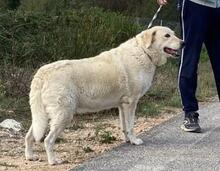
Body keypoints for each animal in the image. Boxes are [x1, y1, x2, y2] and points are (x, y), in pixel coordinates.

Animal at [24, 26, 183, 164]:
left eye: (174, 34)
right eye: (167, 35)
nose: (183, 43)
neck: (144, 52)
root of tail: (43, 72)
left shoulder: (122, 105)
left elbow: (124, 126)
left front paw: (127, 140)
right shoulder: (131, 103)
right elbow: (131, 125)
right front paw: (134, 140)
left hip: (42, 116)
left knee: (29, 136)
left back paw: (30, 156)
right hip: (63, 114)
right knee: (48, 140)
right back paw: (53, 161)